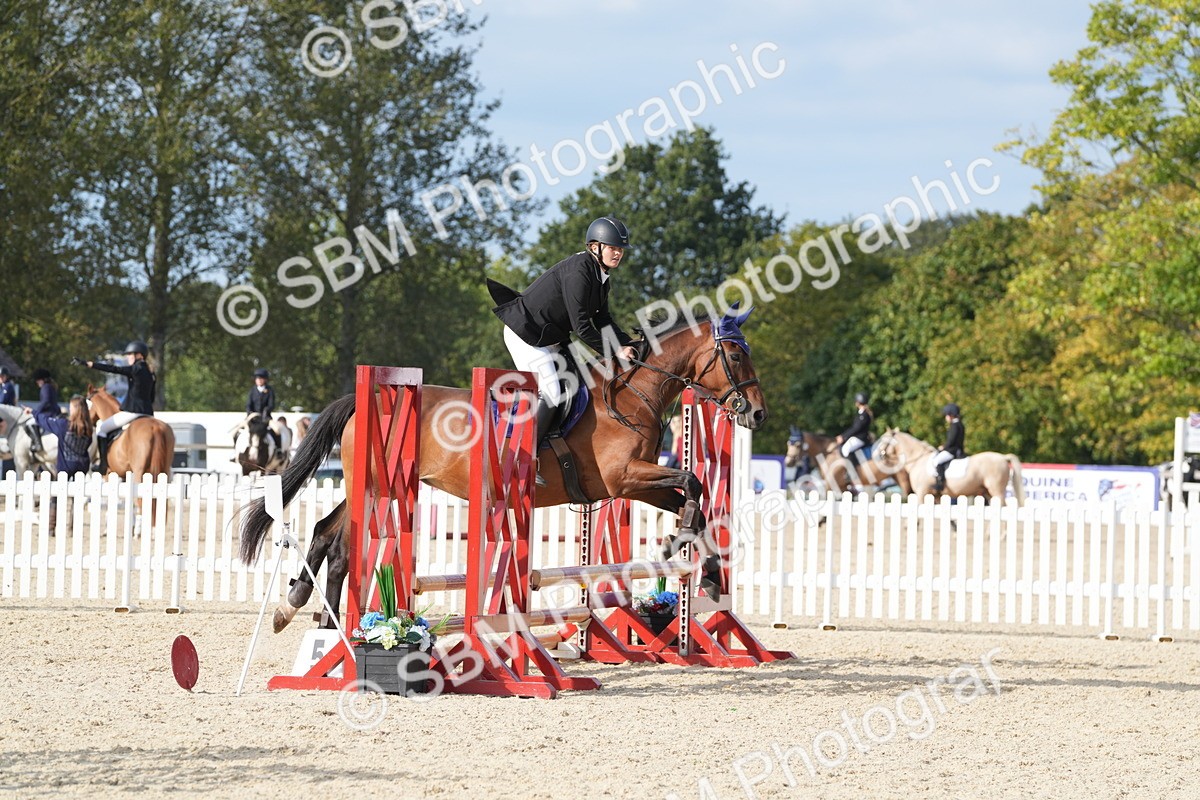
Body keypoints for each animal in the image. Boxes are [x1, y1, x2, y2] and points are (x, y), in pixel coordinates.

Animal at [238, 306, 768, 633]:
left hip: (372, 486)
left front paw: (703, 568)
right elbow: (692, 482)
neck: (633, 395)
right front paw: (680, 541)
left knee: (329, 536)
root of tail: (362, 400)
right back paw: (318, 619)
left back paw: (310, 615)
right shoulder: (624, 478)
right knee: (341, 544)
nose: (758, 414)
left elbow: (696, 500)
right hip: (375, 485)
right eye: (735, 355)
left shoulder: (635, 484)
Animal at [872, 428, 1025, 504]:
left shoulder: (922, 492)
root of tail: (1003, 457)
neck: (918, 460)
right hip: (986, 491)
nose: (876, 454)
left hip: (996, 490)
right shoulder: (935, 496)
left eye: (884, 440)